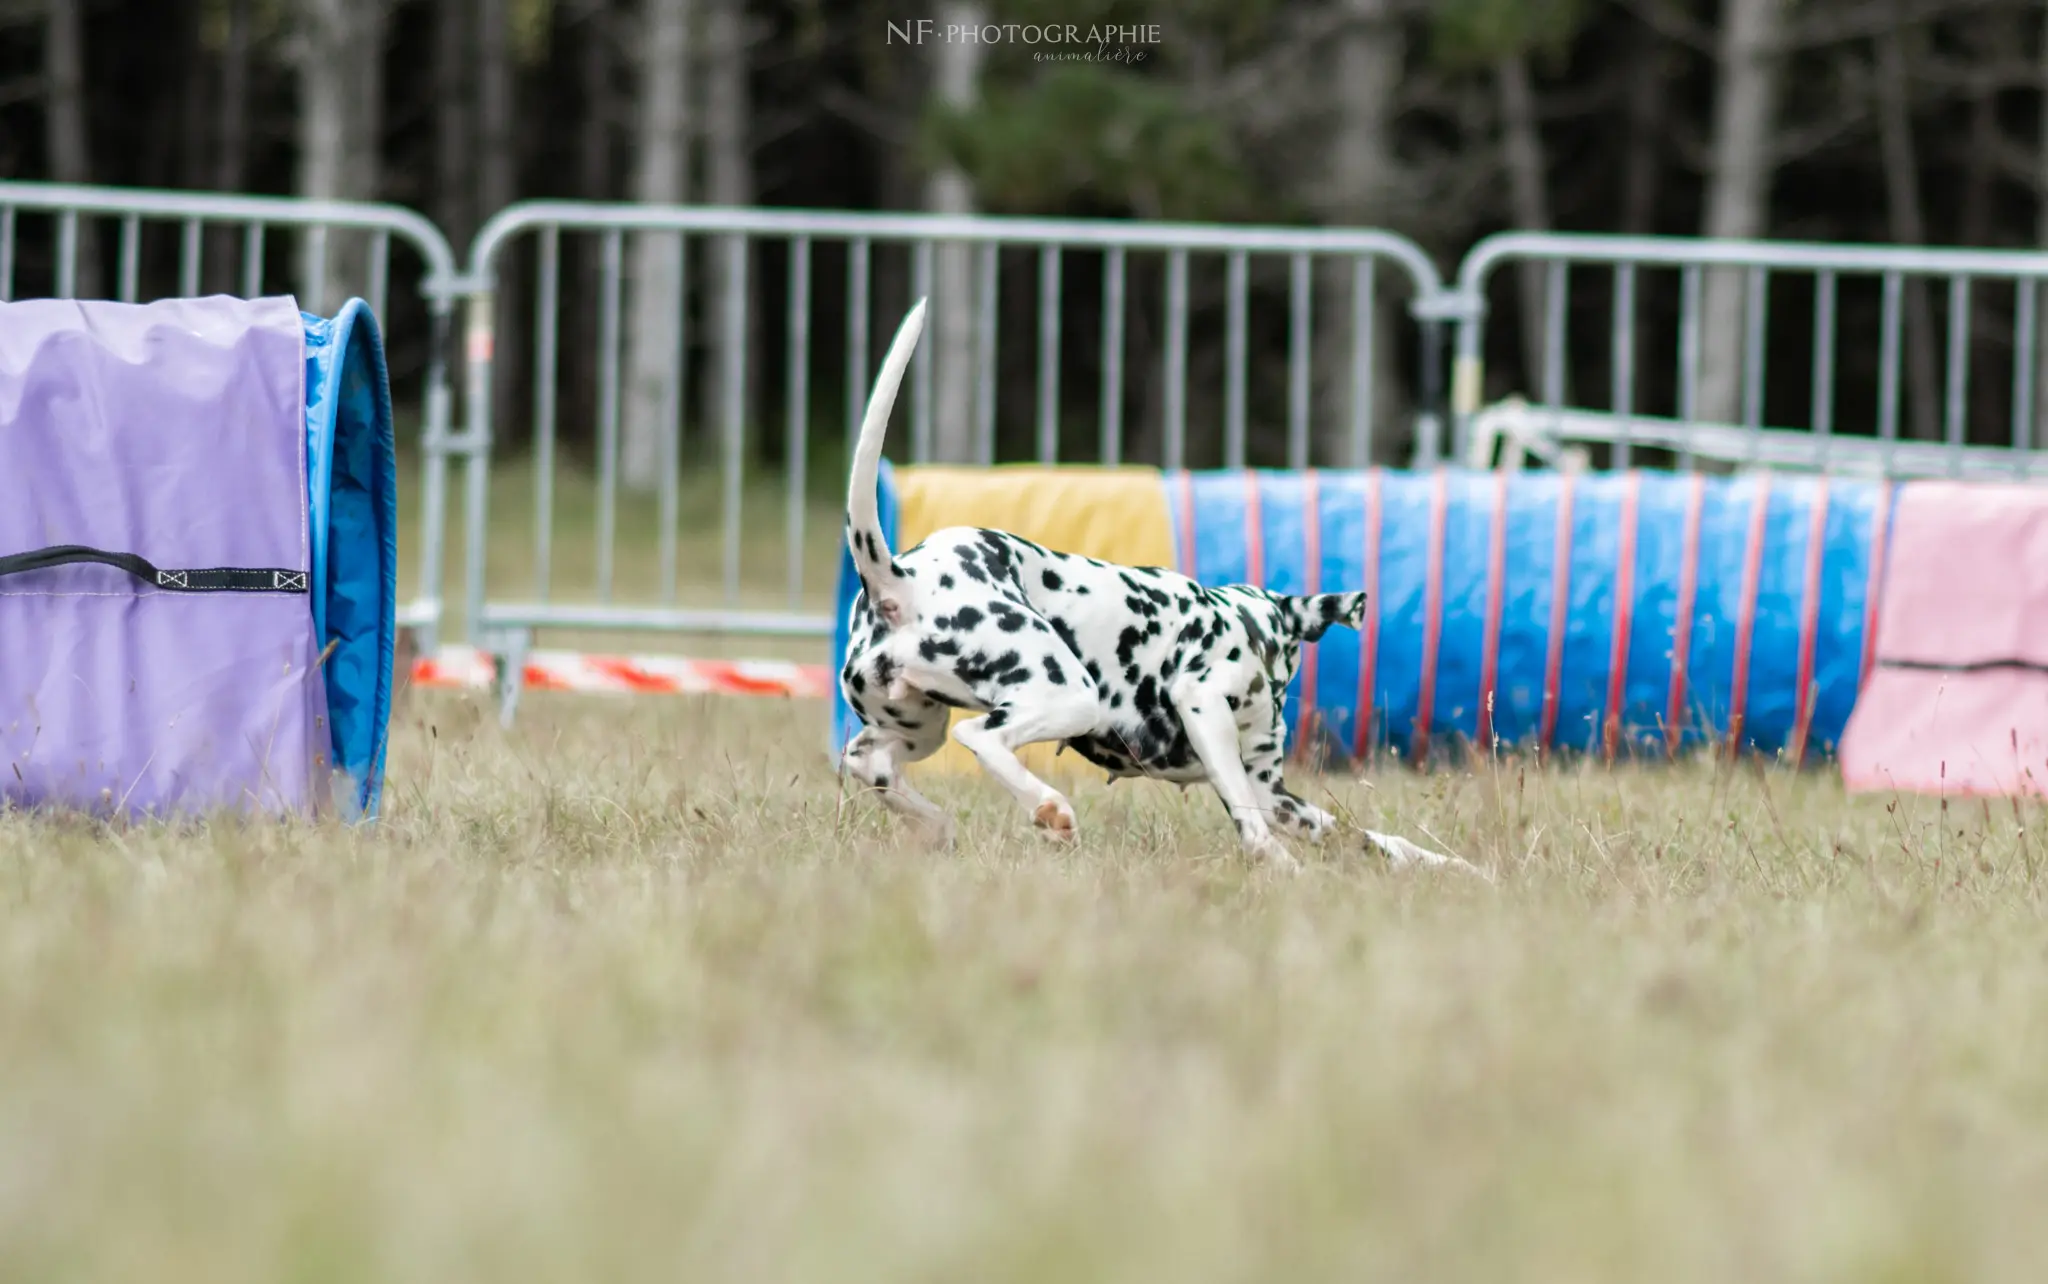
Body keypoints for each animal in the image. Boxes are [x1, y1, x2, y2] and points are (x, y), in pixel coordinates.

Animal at [831, 296, 1474, 880]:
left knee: (870, 764)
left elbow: (1372, 839)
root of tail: (900, 580)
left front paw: (1453, 866)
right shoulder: (1206, 708)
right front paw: (1281, 866)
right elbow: (1253, 827)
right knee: (980, 738)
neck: (1253, 627)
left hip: (916, 729)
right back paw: (1049, 808)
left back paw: (939, 826)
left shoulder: (1276, 793)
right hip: (1068, 694)